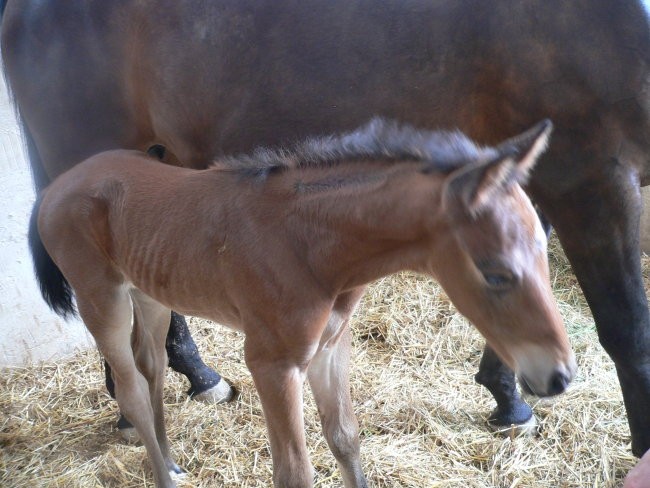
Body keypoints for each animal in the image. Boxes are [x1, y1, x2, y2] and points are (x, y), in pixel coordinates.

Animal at [29, 119, 572, 488]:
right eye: (495, 273)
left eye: (545, 253)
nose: (560, 377)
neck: (308, 243)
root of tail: (55, 188)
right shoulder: (272, 362)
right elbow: (294, 471)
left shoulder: (331, 347)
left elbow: (346, 439)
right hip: (101, 298)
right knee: (131, 388)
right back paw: (163, 475)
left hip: (150, 293)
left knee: (152, 369)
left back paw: (172, 463)